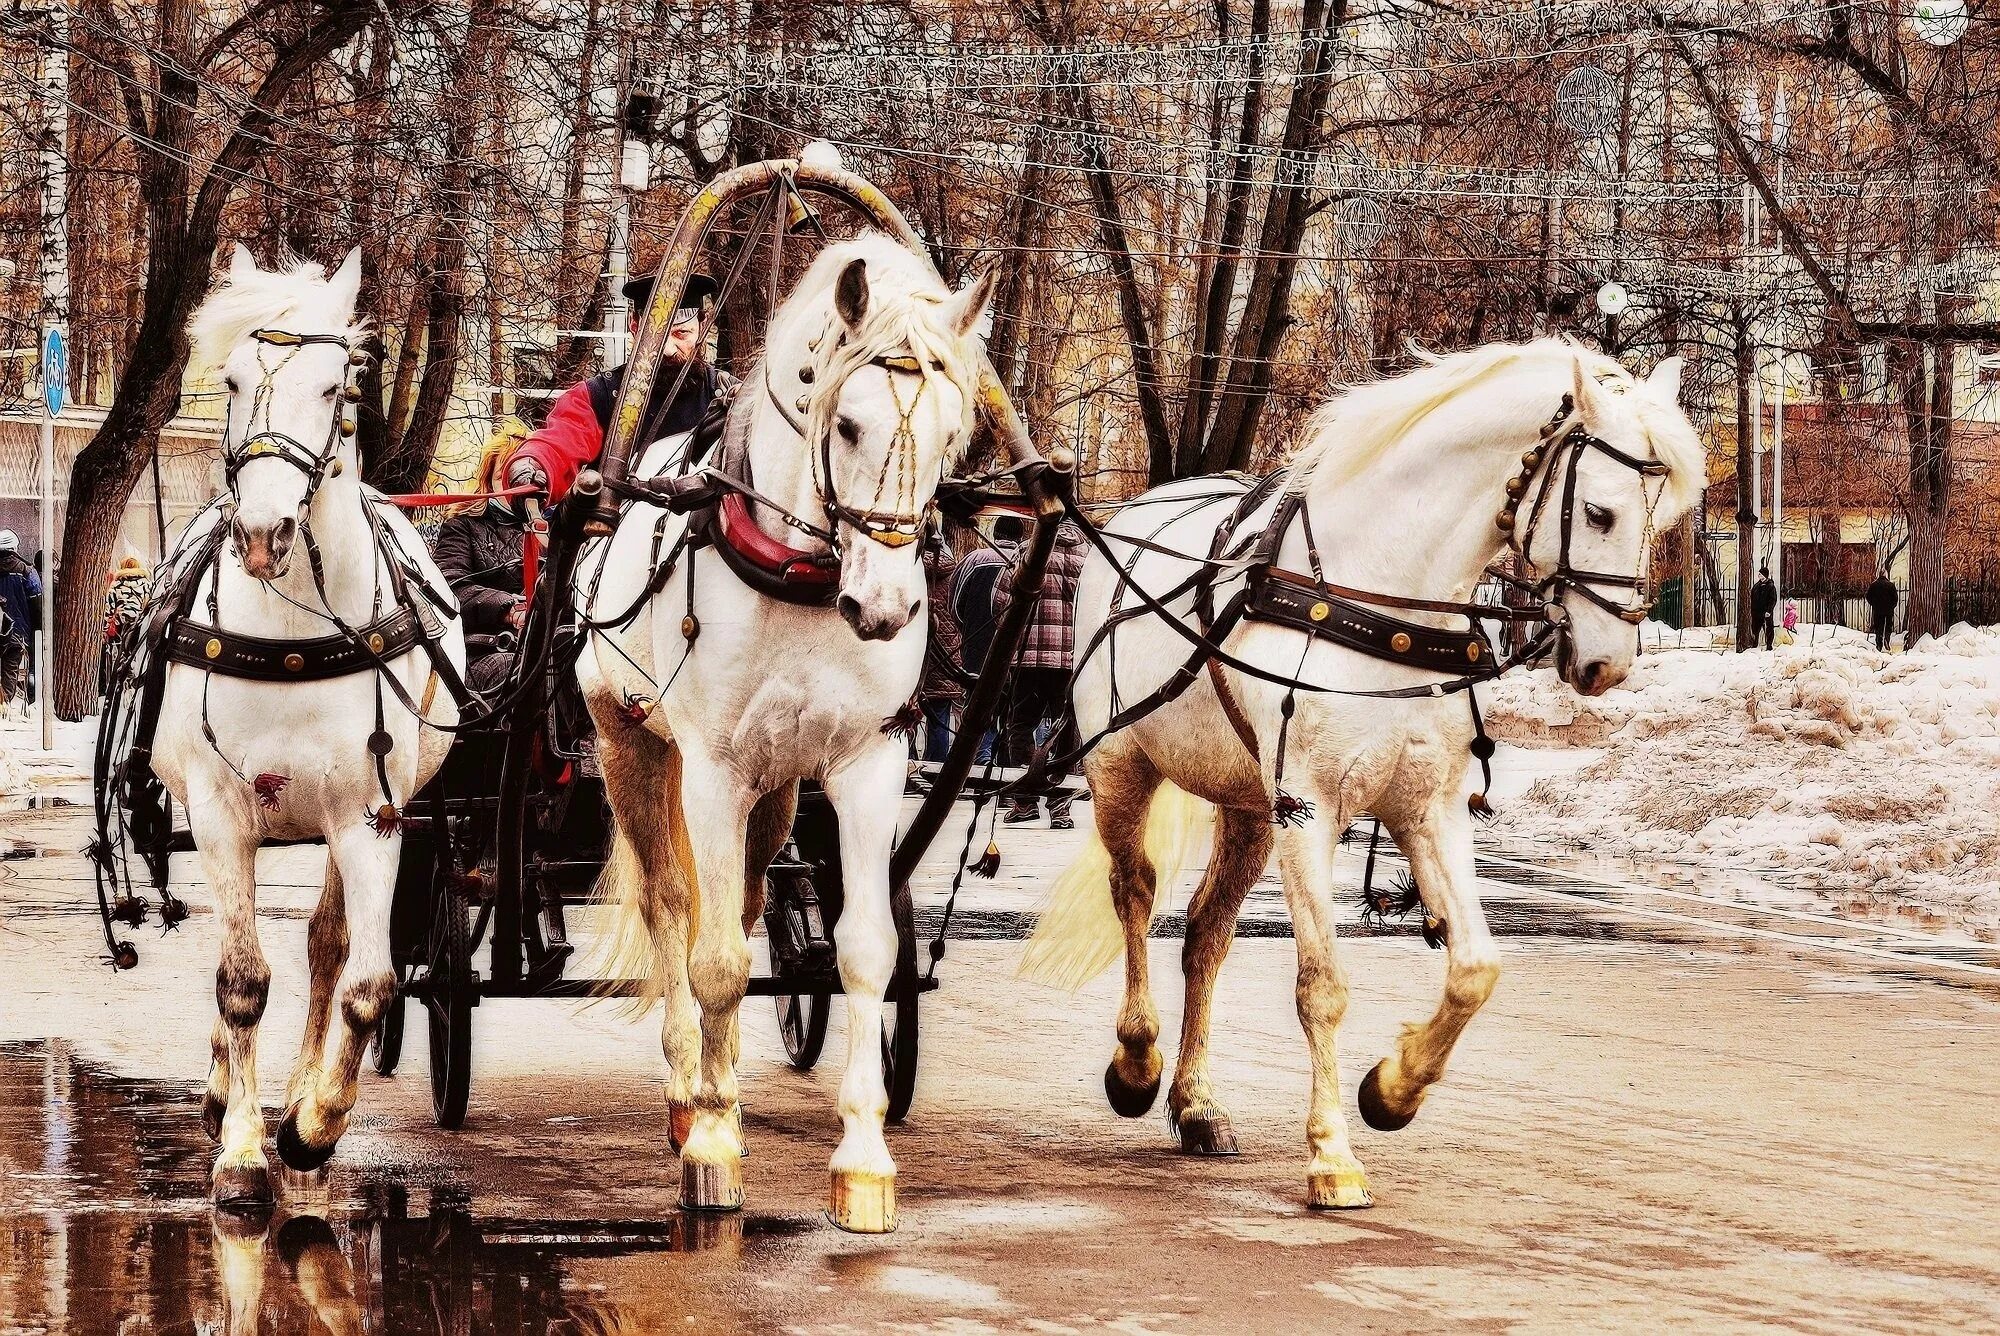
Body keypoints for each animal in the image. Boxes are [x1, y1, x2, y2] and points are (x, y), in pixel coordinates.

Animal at [152, 248, 464, 1208]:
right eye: (233, 378)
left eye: (336, 387)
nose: (261, 533)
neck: (291, 627)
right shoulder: (221, 814)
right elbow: (241, 980)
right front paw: (242, 1152)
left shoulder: (372, 818)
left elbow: (365, 982)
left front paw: (312, 1125)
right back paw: (227, 1094)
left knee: (328, 950)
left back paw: (295, 1097)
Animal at [584, 230, 996, 1232]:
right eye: (845, 424)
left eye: (952, 435)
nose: (885, 608)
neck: (801, 580)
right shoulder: (712, 771)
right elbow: (715, 963)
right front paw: (713, 1148)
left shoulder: (867, 764)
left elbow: (863, 951)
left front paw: (864, 1162)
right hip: (632, 751)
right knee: (675, 912)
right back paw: (689, 1097)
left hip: (776, 789)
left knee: (744, 905)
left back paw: (721, 1087)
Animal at [1024, 342, 1696, 1208]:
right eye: (1602, 514)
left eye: (1663, 520)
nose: (1608, 664)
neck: (1384, 599)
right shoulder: (1308, 811)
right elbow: (1322, 987)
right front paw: (1331, 1154)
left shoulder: (1428, 810)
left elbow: (1475, 968)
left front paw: (1393, 1088)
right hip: (1123, 769)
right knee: (1134, 895)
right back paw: (1138, 1062)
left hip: (1250, 809)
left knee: (1206, 936)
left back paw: (1198, 1105)